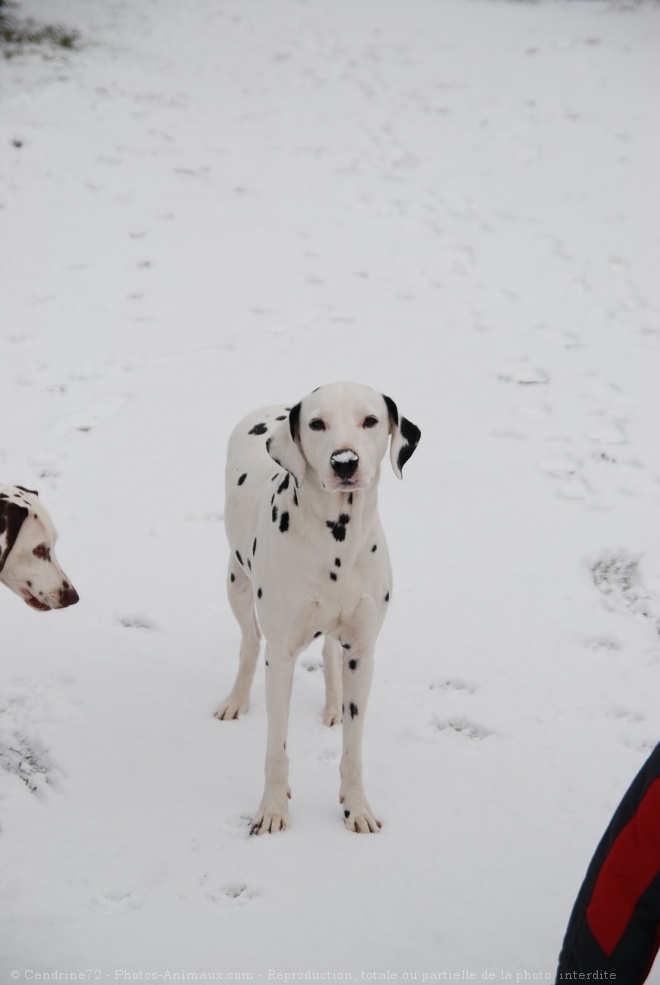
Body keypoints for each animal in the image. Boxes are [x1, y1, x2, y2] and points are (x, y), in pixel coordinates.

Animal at [218, 380, 422, 836]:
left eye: (370, 420)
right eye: (316, 424)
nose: (344, 461)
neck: (336, 545)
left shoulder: (362, 653)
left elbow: (353, 749)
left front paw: (357, 808)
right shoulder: (281, 658)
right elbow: (276, 749)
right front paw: (272, 810)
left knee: (329, 650)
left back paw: (332, 703)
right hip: (236, 581)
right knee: (248, 642)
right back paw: (236, 699)